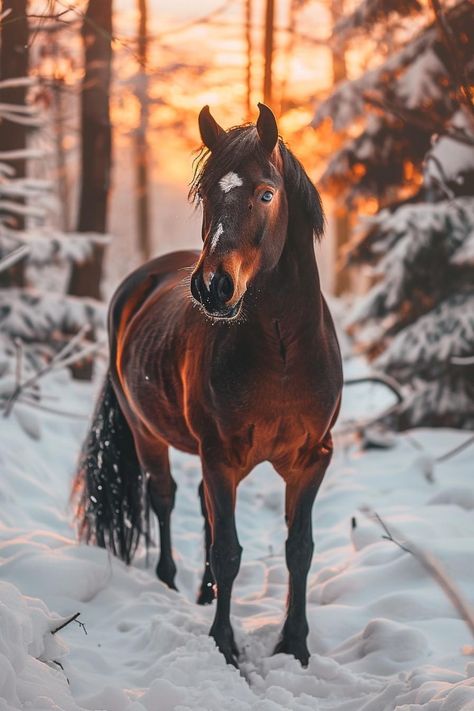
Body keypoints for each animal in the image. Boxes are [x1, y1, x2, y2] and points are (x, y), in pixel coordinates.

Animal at [73, 103, 340, 672]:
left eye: (266, 193)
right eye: (207, 193)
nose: (213, 286)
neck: (283, 353)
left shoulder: (311, 458)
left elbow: (299, 549)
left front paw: (295, 645)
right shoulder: (221, 456)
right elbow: (227, 549)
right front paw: (224, 644)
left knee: (200, 508)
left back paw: (203, 591)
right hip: (148, 434)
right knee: (166, 499)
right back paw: (171, 582)